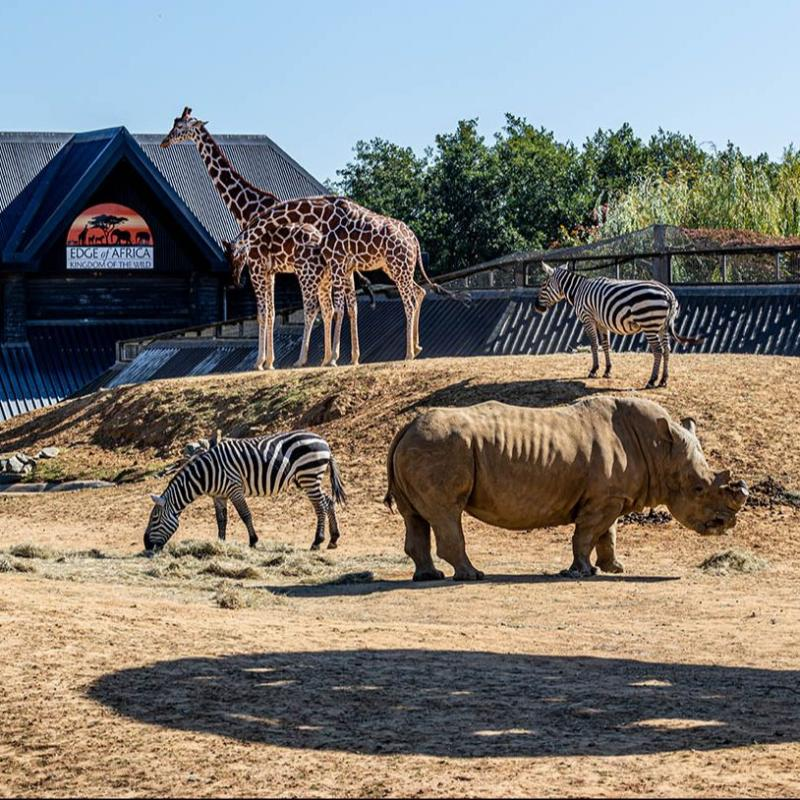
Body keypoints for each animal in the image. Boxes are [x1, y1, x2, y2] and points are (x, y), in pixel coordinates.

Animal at [145, 432, 346, 556]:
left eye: (154, 519)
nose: (146, 545)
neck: (206, 474)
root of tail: (325, 442)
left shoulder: (234, 488)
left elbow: (245, 515)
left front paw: (253, 541)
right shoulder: (218, 496)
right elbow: (221, 519)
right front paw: (220, 543)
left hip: (309, 475)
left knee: (320, 506)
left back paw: (317, 541)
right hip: (309, 478)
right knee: (329, 502)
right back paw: (333, 539)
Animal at [161, 105, 336, 366]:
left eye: (180, 127)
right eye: (173, 123)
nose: (164, 141)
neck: (248, 209)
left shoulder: (256, 266)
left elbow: (264, 313)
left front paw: (261, 362)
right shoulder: (269, 269)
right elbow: (270, 313)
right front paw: (269, 361)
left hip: (310, 269)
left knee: (318, 307)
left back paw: (307, 359)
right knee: (333, 306)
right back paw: (329, 358)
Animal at [227, 194, 462, 368]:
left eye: (236, 256)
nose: (236, 280)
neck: (320, 217)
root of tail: (415, 241)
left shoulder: (338, 263)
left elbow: (338, 308)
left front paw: (333, 359)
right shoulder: (342, 267)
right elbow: (346, 308)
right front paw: (341, 358)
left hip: (398, 267)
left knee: (410, 302)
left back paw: (408, 354)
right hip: (398, 269)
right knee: (419, 292)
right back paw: (417, 347)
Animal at [536, 262, 704, 388]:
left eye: (543, 286)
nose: (537, 308)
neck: (578, 290)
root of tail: (669, 294)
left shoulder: (587, 318)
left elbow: (593, 344)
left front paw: (594, 370)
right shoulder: (601, 321)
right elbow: (605, 344)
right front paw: (607, 370)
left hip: (649, 324)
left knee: (658, 351)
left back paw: (652, 380)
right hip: (662, 326)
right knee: (667, 350)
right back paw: (663, 380)